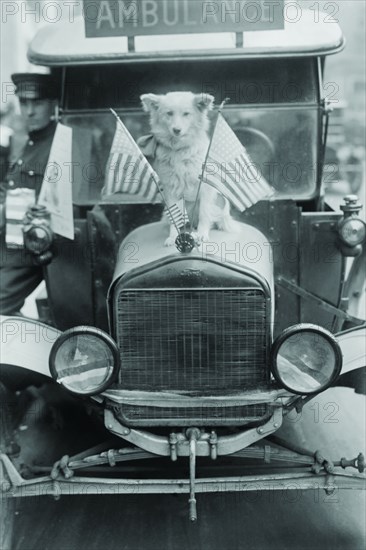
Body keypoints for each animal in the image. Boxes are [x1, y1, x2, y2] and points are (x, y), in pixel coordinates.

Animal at [139, 91, 239, 247]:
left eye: (186, 114)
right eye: (169, 113)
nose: (176, 130)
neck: (180, 149)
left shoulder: (206, 188)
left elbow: (204, 214)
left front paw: (202, 235)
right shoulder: (170, 190)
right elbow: (175, 217)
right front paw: (173, 237)